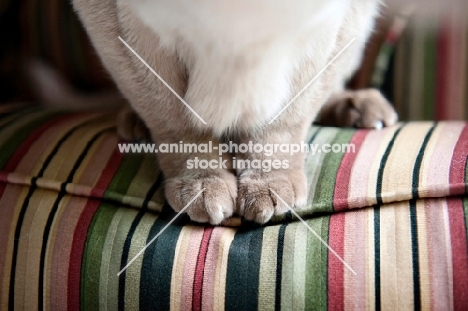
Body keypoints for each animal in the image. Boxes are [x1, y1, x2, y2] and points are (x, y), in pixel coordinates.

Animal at [71, 0, 400, 224]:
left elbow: (280, 124)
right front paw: (203, 185)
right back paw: (134, 122)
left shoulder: (327, 23)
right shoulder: (125, 24)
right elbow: (182, 125)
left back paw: (363, 107)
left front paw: (267, 186)